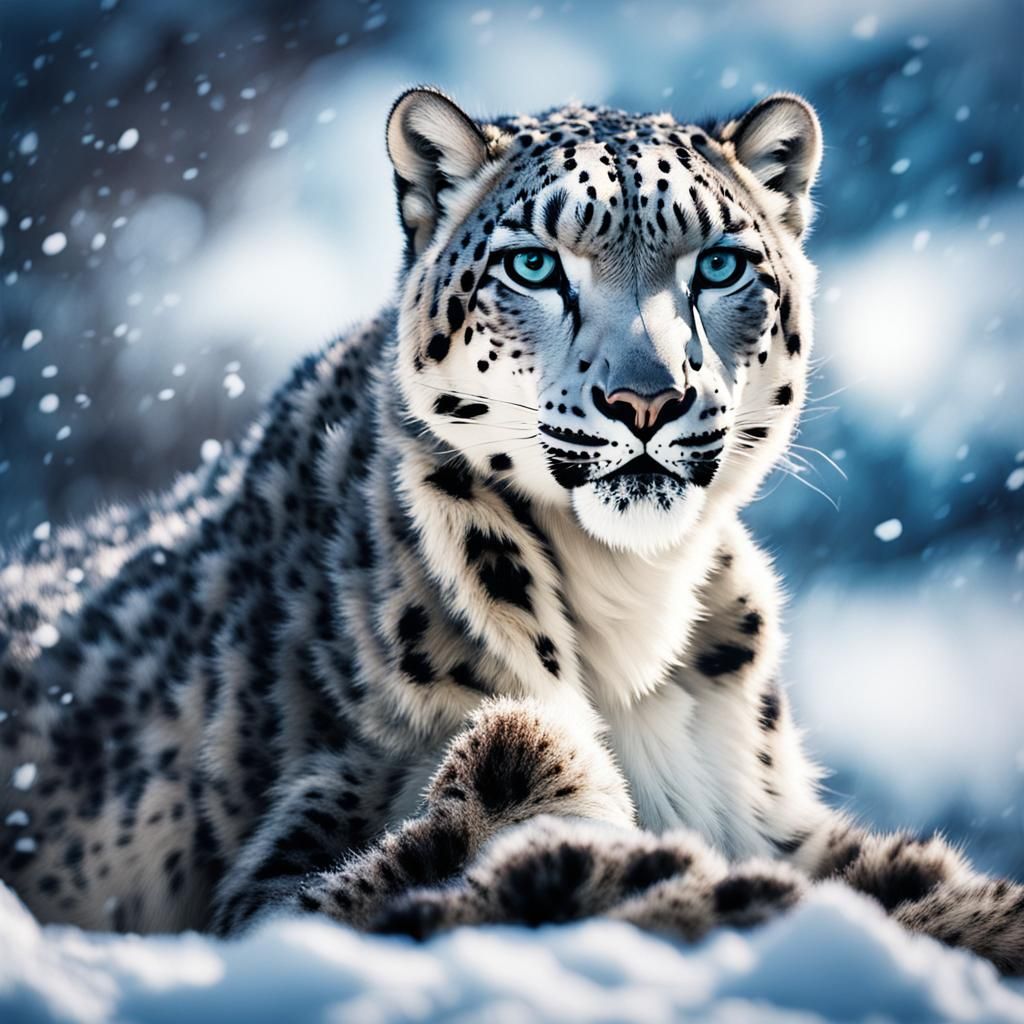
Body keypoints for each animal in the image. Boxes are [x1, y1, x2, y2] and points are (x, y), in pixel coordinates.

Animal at [1, 87, 1021, 974]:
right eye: (534, 264)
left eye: (719, 263)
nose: (646, 400)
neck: (631, 603)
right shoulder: (281, 884)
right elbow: (533, 855)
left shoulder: (777, 817)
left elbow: (901, 876)